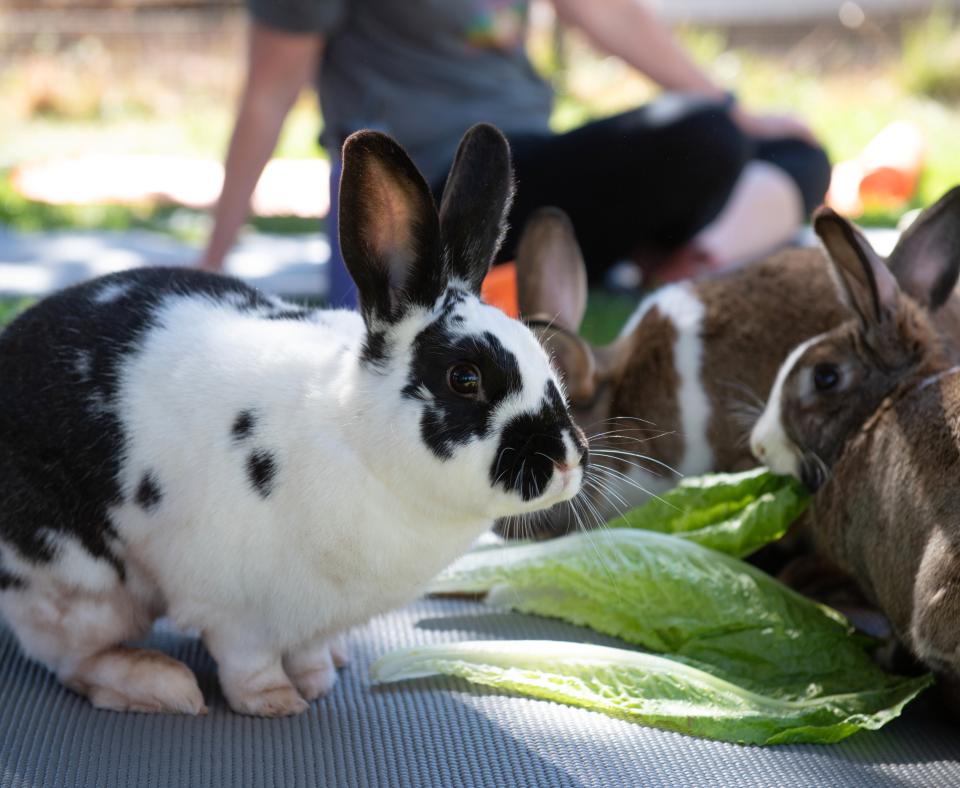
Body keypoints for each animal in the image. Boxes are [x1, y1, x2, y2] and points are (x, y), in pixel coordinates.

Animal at [0, 121, 584, 716]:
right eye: (464, 378)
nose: (566, 460)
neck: (356, 436)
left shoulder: (312, 619)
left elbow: (309, 651)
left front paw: (317, 680)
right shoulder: (233, 609)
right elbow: (247, 662)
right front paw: (277, 702)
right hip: (77, 580)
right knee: (72, 657)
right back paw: (161, 685)